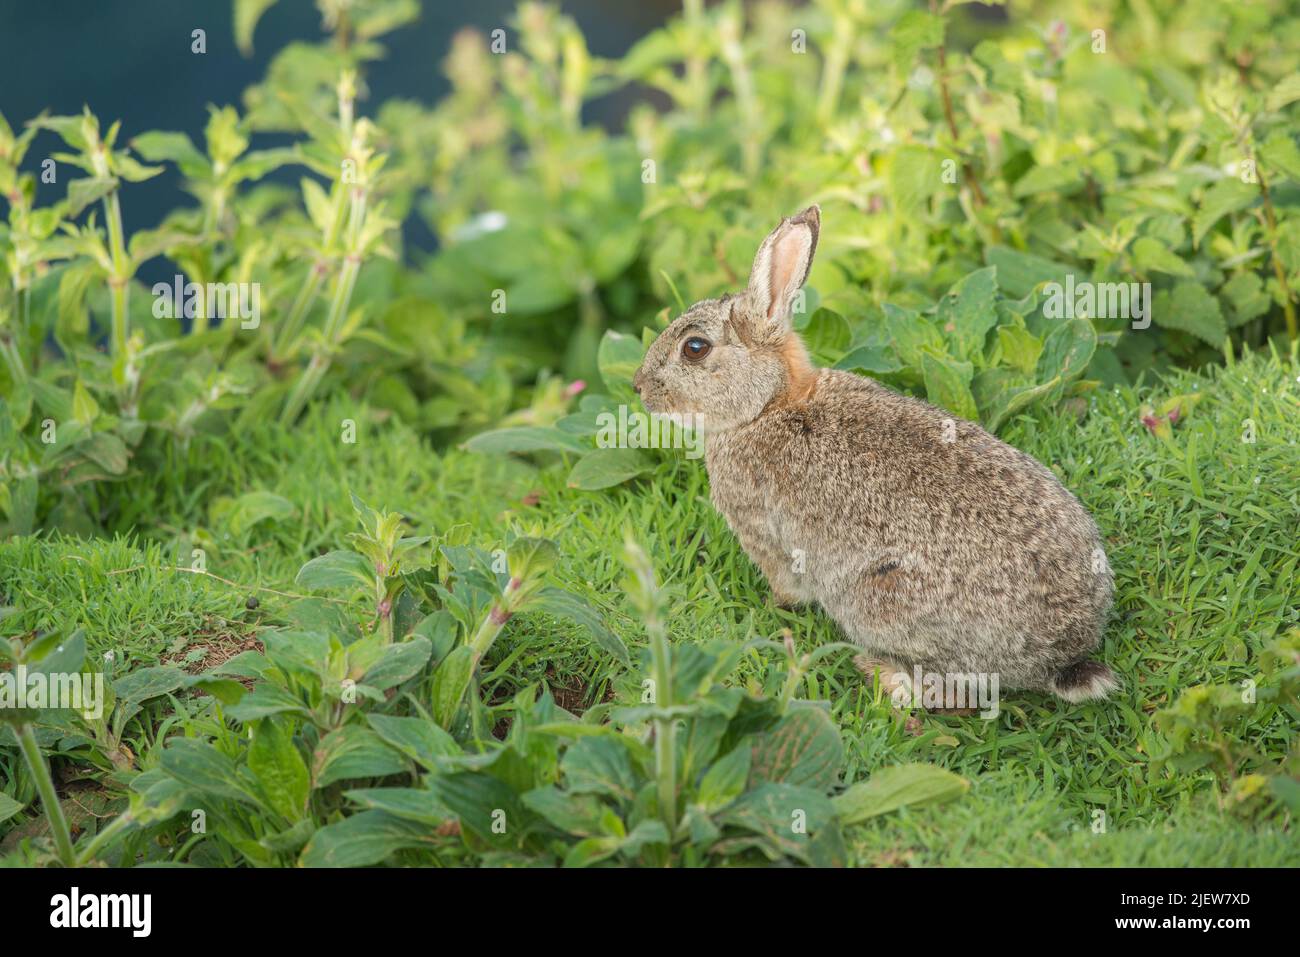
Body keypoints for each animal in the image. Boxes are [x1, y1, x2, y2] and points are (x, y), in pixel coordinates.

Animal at [632, 206, 1117, 705]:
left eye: (694, 348)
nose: (639, 388)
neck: (769, 405)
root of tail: (1062, 655)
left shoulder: (763, 534)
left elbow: (786, 584)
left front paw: (775, 607)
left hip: (880, 602)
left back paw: (882, 674)